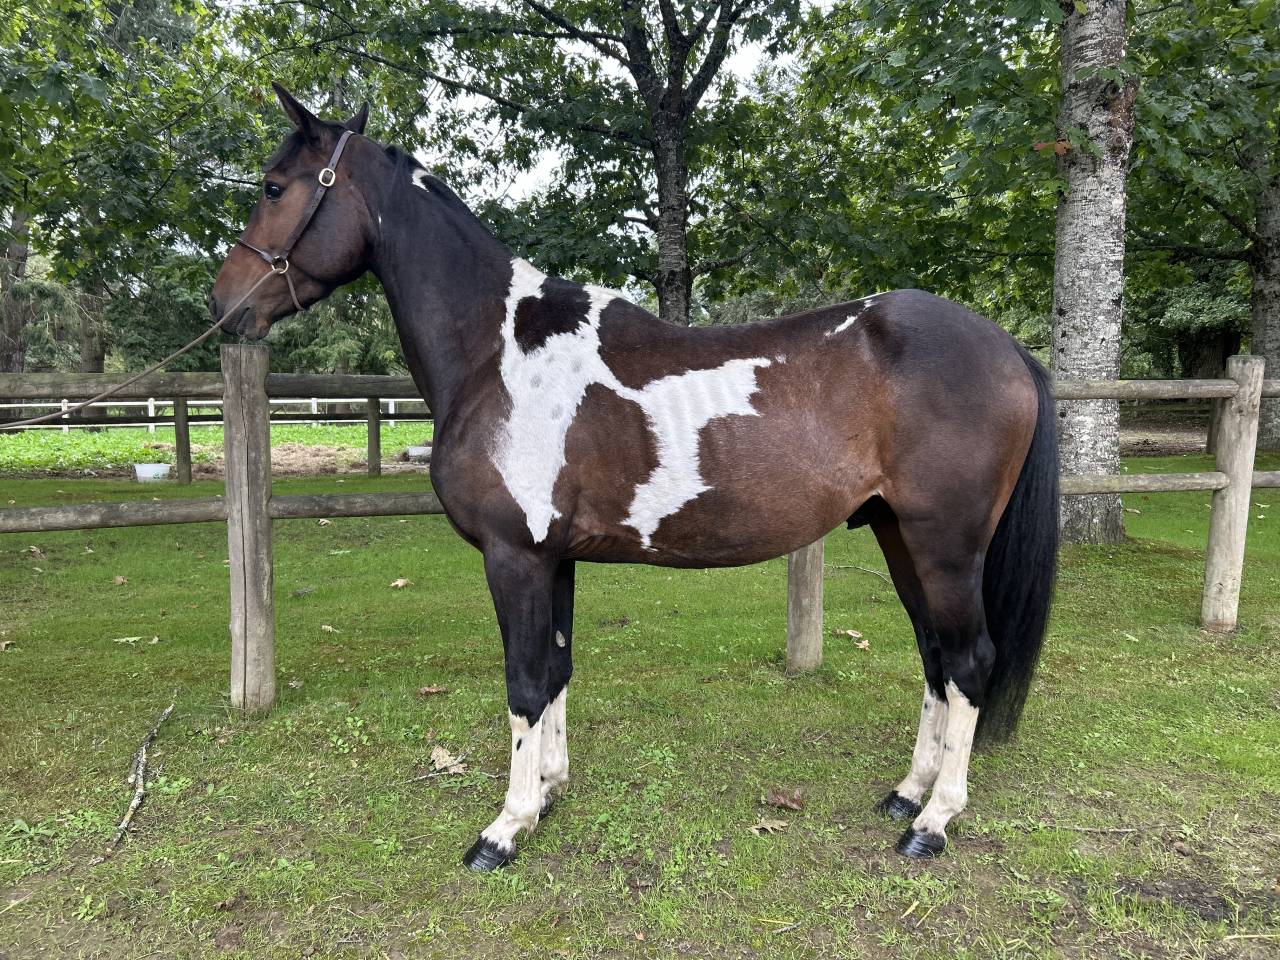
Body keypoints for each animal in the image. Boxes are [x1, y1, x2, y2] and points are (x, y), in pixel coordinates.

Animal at [210, 85, 1058, 871]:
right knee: (937, 660)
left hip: (946, 546)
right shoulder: (552, 559)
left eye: (274, 187)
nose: (223, 305)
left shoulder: (514, 557)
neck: (498, 352)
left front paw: (505, 828)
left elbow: (524, 682)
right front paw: (548, 792)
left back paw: (934, 822)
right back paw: (907, 794)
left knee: (970, 664)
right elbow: (555, 670)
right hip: (898, 535)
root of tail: (1007, 348)